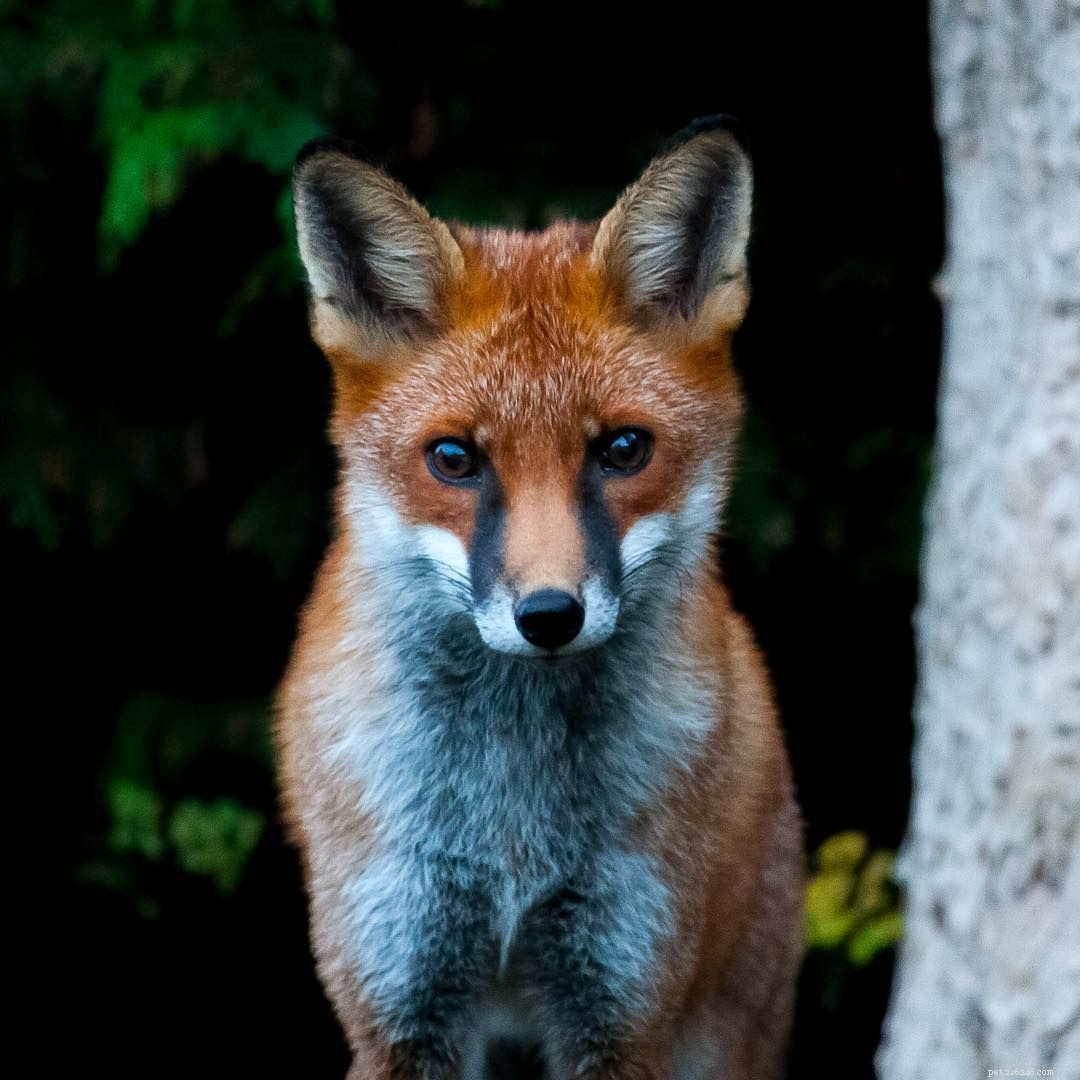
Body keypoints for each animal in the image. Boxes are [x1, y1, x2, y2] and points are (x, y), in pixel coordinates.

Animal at [275, 117, 804, 1080]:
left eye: (623, 449)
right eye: (454, 459)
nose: (550, 615)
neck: (511, 830)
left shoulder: (620, 997)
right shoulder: (400, 995)